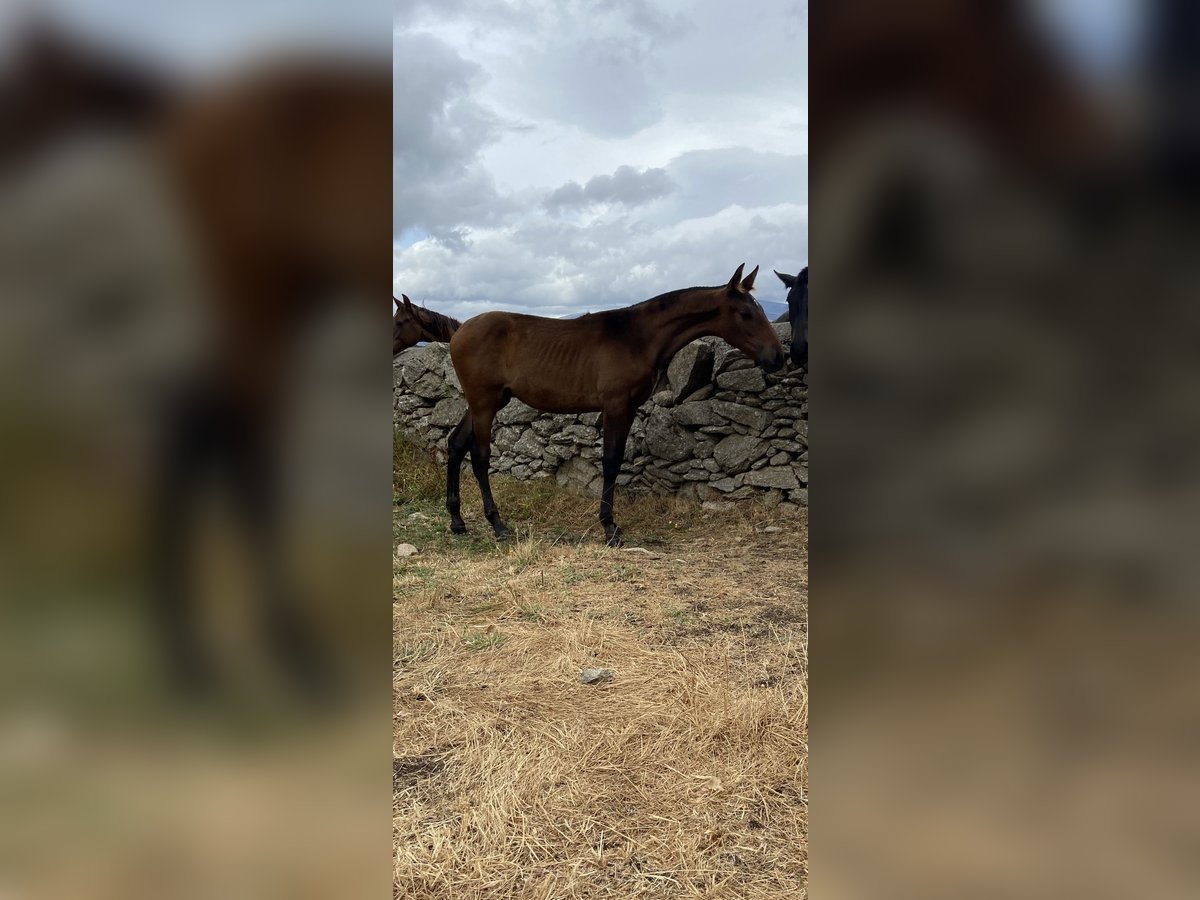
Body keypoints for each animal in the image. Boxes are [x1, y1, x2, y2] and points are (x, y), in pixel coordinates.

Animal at [446, 264, 782, 547]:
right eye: (746, 313)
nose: (777, 357)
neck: (637, 337)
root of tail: (458, 332)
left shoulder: (629, 408)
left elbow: (615, 460)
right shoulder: (616, 406)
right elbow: (610, 461)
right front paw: (610, 528)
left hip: (486, 402)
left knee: (456, 444)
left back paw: (457, 520)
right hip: (485, 403)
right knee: (479, 457)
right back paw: (497, 524)